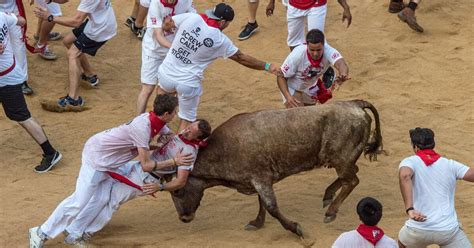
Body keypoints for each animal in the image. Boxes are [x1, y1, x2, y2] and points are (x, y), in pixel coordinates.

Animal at [168, 99, 384, 236]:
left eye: (178, 190)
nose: (184, 218)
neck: (224, 148)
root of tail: (355, 104)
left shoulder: (261, 179)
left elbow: (271, 206)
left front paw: (296, 229)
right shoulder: (258, 180)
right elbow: (262, 203)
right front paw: (257, 223)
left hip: (341, 159)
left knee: (352, 180)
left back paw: (331, 211)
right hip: (343, 159)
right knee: (351, 175)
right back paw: (327, 196)